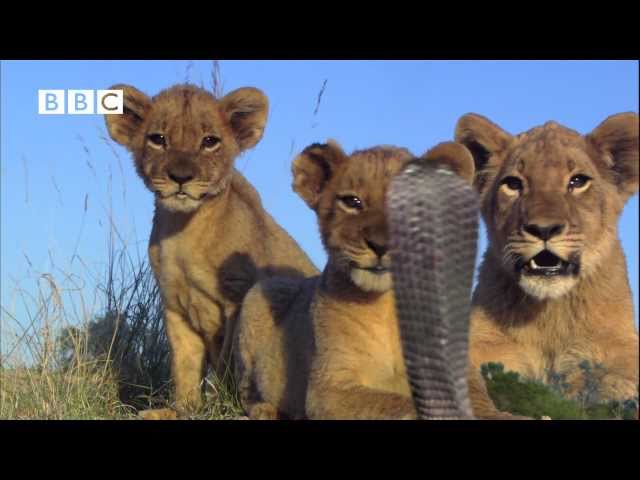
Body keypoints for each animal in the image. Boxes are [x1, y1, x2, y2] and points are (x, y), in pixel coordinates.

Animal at [104, 83, 318, 416]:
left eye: (209, 141)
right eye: (158, 139)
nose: (181, 177)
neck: (184, 233)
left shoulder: (236, 297)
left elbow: (233, 357)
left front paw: (226, 407)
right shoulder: (174, 305)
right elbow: (185, 365)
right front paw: (180, 410)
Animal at [234, 140, 509, 419]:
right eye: (352, 201)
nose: (381, 245)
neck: (388, 309)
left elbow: (480, 401)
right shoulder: (328, 387)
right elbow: (396, 403)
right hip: (263, 292)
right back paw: (267, 410)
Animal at [455, 112, 639, 412]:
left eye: (577, 181)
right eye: (513, 184)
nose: (544, 229)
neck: (550, 313)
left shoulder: (618, 346)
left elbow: (614, 378)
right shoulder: (482, 343)